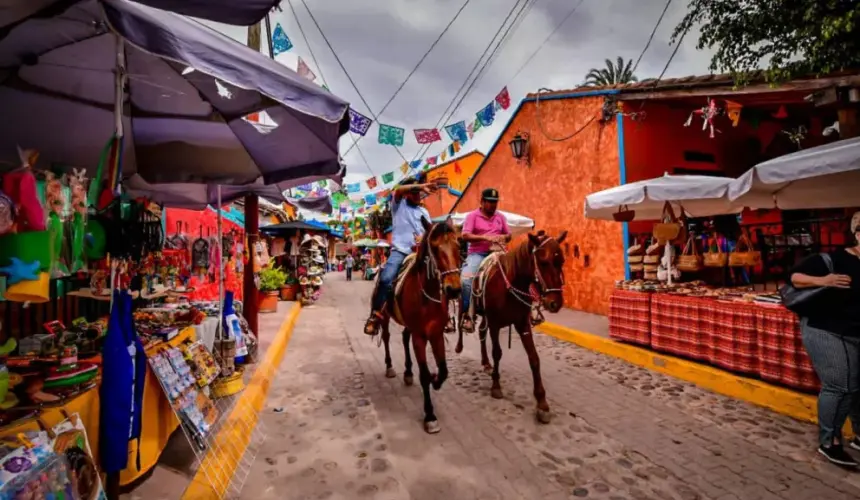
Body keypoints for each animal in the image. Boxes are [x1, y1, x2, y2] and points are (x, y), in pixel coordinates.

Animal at [380, 219, 464, 434]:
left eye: (458, 245)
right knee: (386, 337)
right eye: (434, 247)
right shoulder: (420, 336)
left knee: (403, 337)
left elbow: (443, 371)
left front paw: (436, 379)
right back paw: (390, 366)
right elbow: (424, 375)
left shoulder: (435, 334)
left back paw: (408, 373)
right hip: (384, 317)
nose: (453, 289)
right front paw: (430, 416)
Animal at [454, 230, 568, 422]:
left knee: (481, 332)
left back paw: (486, 363)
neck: (510, 285)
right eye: (543, 262)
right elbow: (497, 353)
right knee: (463, 320)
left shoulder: (522, 324)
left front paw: (542, 403)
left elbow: (534, 358)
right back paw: (459, 345)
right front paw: (496, 386)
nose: (555, 303)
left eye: (561, 261)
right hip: (466, 302)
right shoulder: (495, 324)